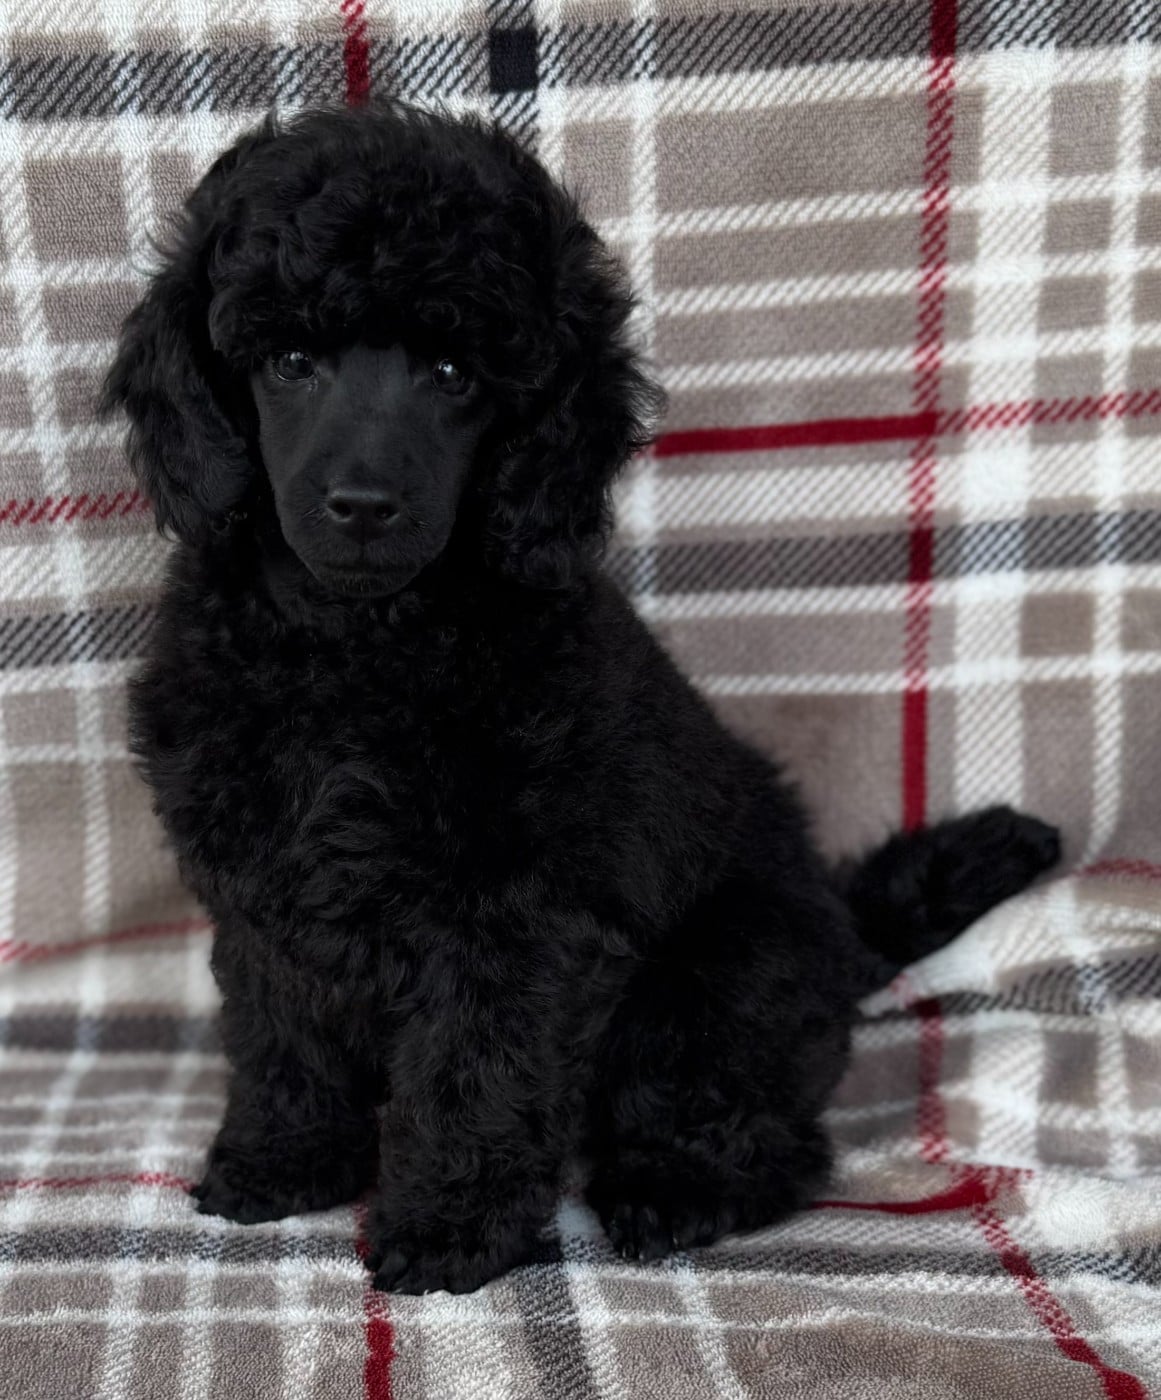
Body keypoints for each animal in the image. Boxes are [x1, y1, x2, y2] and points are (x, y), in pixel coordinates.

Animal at [103, 102, 1060, 1295]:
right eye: (287, 363)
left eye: (454, 371)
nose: (363, 504)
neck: (357, 646)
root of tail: (844, 931)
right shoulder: (262, 884)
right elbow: (283, 1035)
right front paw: (284, 1161)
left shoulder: (518, 914)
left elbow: (474, 1071)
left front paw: (449, 1225)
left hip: (714, 987)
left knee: (768, 1135)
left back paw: (672, 1191)